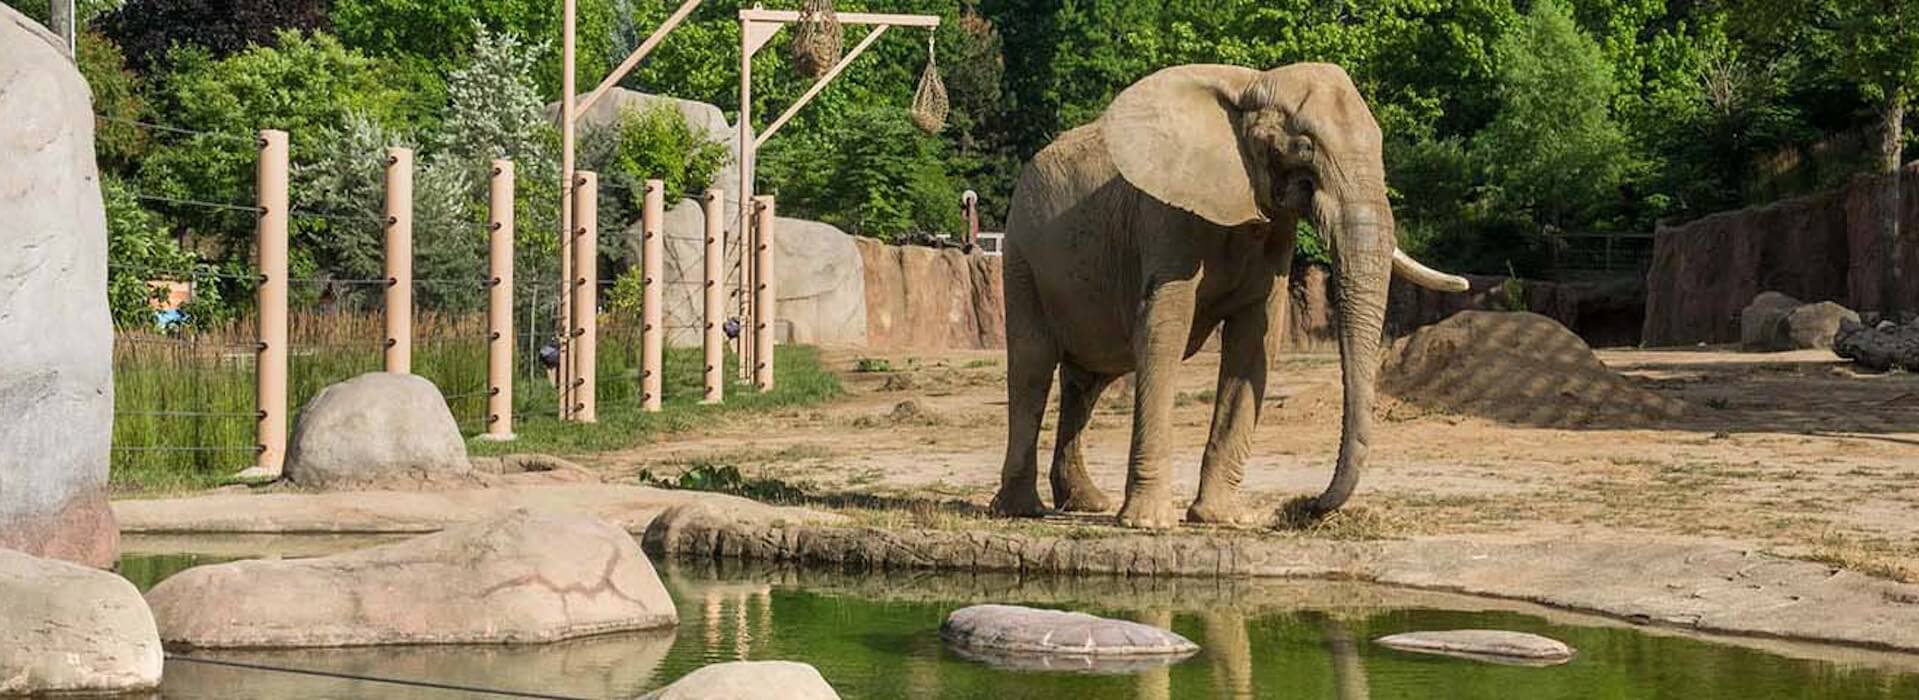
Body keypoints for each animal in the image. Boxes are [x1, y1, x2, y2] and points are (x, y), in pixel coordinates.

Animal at [997, 62, 1458, 525]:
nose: (1305, 506)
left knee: (1088, 380)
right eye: (1305, 147)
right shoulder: (1168, 216)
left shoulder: (1273, 229)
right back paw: (1022, 509)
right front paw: (1150, 522)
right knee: (1034, 365)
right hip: (1021, 253)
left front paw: (1221, 517)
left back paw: (1086, 502)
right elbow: (1164, 330)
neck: (1252, 84)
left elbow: (1256, 339)